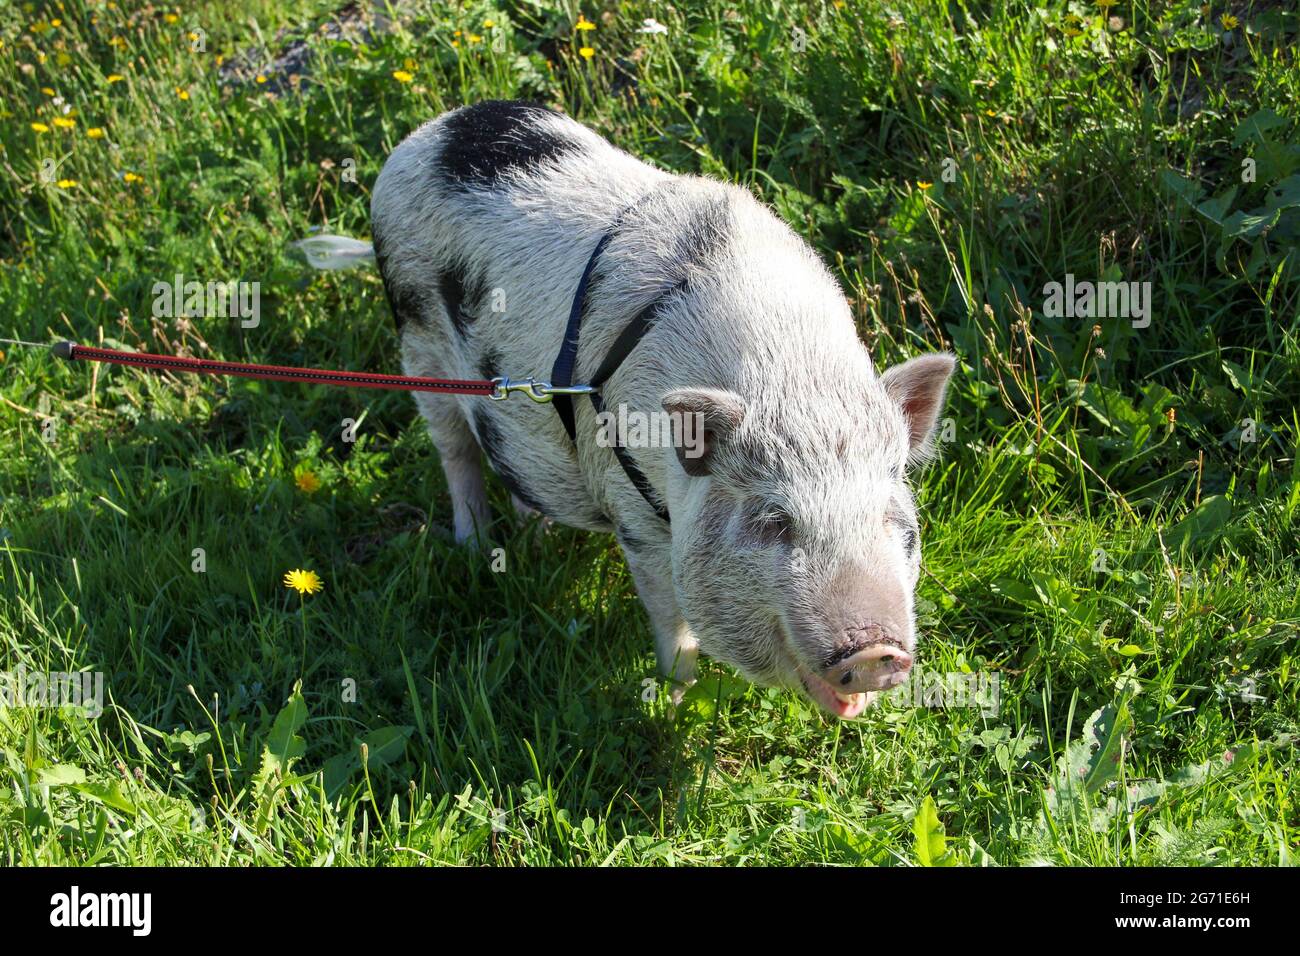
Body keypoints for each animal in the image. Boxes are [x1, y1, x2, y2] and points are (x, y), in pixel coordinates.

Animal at [368, 101, 955, 718]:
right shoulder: (636, 514)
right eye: (774, 522)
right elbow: (670, 620)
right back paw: (476, 544)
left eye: (889, 518)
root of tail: (426, 134)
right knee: (455, 448)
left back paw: (536, 536)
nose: (875, 651)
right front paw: (673, 705)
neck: (794, 377)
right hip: (418, 345)